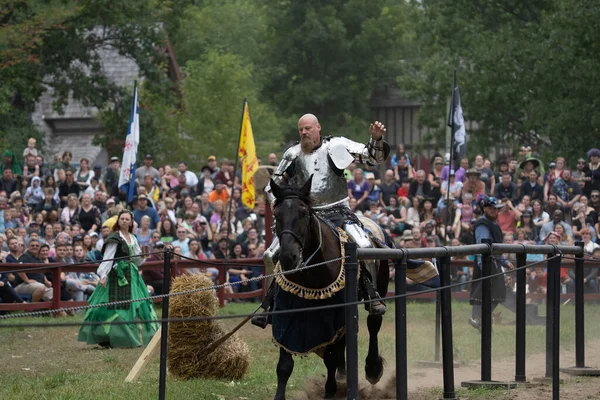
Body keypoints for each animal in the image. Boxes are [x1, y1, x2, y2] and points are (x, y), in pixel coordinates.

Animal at [268, 178, 390, 400]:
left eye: (304, 213)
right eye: (276, 215)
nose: (288, 257)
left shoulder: (334, 313)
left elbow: (331, 357)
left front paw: (330, 390)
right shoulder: (286, 315)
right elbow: (285, 364)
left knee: (373, 323)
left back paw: (372, 369)